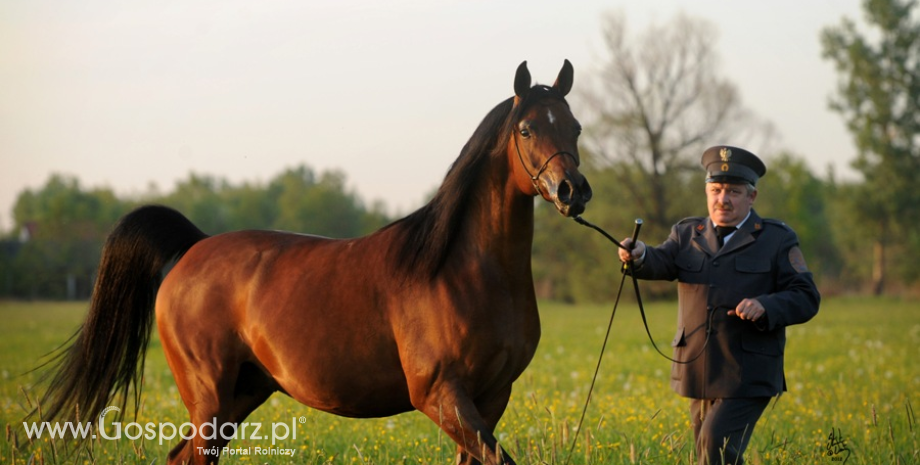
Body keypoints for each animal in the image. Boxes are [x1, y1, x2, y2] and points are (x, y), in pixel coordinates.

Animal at [37, 60, 588, 464]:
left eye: (576, 127)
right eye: (526, 129)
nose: (572, 191)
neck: (465, 271)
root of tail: (196, 246)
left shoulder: (491, 397)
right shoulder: (440, 394)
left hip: (243, 393)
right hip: (209, 398)